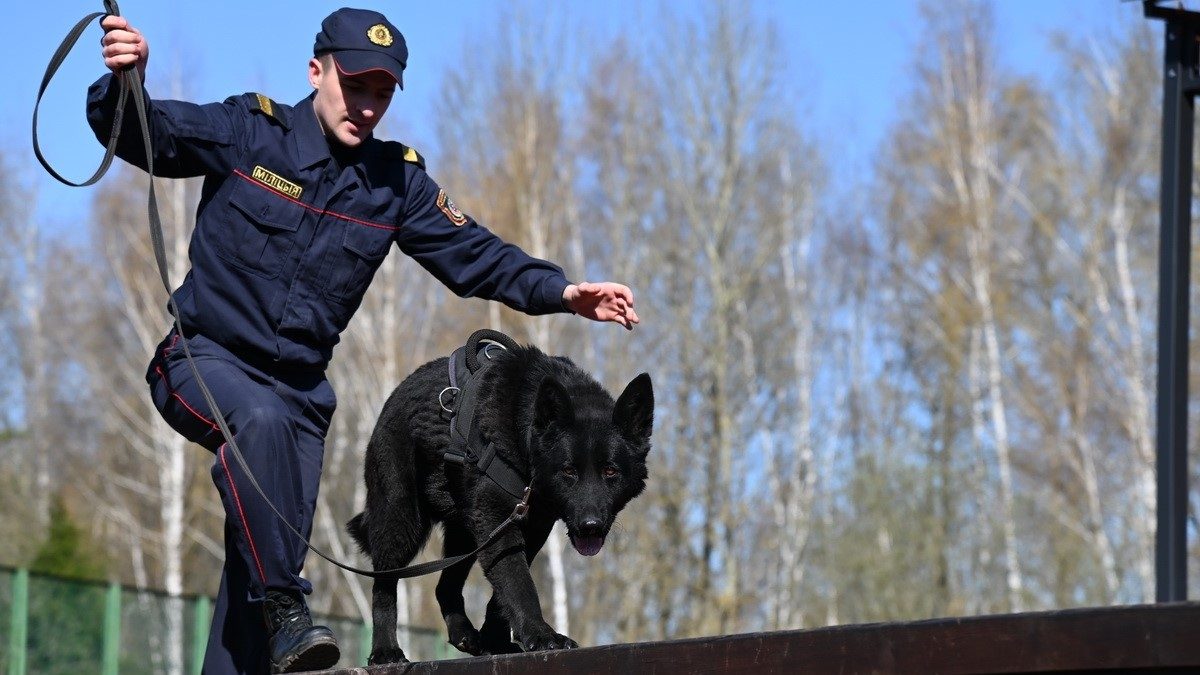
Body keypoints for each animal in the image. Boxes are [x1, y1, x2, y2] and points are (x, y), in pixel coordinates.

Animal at [348, 333, 652, 658]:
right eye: (568, 471)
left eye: (610, 471)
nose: (590, 526)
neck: (524, 437)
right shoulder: (496, 521)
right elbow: (518, 581)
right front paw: (541, 634)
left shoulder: (530, 527)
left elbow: (503, 591)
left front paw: (497, 640)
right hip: (401, 519)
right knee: (384, 583)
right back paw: (385, 650)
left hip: (463, 534)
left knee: (445, 586)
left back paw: (463, 633)